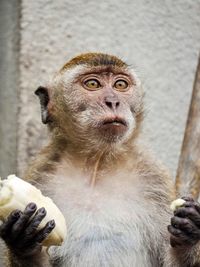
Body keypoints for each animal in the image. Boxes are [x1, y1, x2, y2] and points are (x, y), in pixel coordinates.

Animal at [0, 52, 200, 267]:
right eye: (93, 84)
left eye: (120, 85)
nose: (113, 101)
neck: (97, 162)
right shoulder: (40, 174)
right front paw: (24, 241)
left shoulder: (154, 178)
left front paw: (189, 233)